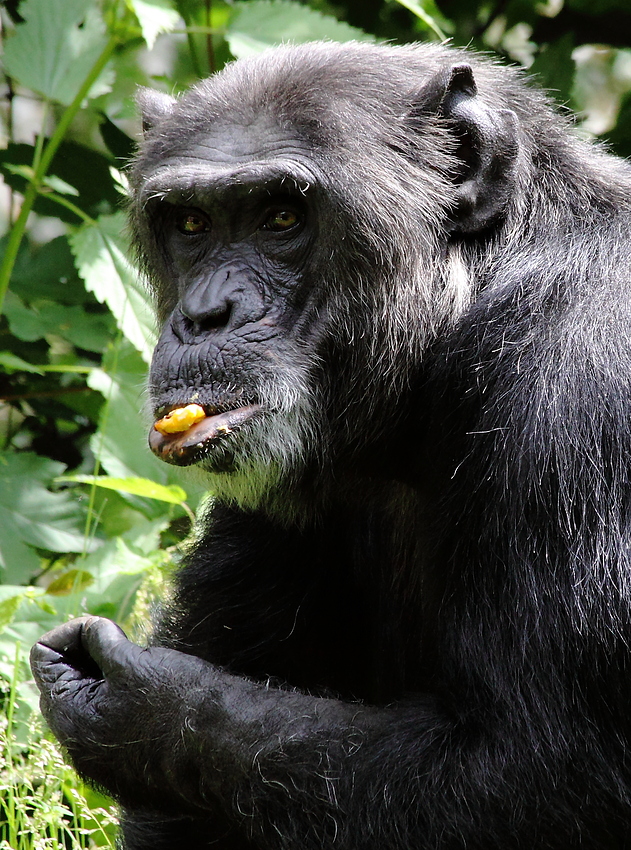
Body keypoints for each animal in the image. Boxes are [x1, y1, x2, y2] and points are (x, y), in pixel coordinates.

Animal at [29, 39, 631, 848]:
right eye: (189, 224)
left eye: (282, 216)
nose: (205, 314)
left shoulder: (576, 386)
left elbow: (539, 769)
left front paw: (132, 700)